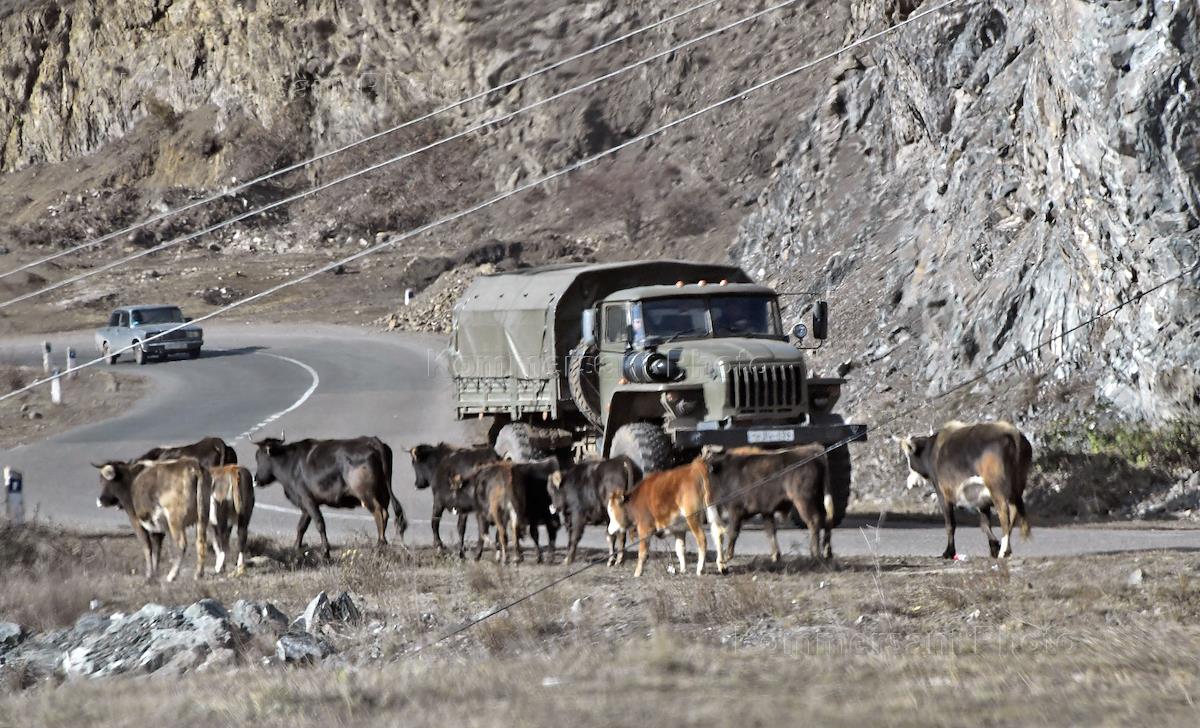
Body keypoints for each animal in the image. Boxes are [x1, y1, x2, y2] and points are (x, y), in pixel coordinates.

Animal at [252, 438, 403, 558]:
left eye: (259, 457)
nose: (256, 479)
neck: (290, 463)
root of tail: (373, 441)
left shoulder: (307, 499)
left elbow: (319, 523)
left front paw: (325, 551)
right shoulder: (307, 503)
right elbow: (301, 526)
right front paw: (296, 547)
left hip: (366, 494)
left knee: (379, 513)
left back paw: (379, 544)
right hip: (383, 492)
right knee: (386, 513)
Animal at [700, 443, 835, 563]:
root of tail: (813, 450)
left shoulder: (735, 509)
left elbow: (733, 531)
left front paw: (728, 555)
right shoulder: (766, 510)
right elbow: (770, 531)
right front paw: (776, 556)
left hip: (804, 500)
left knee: (814, 521)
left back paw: (815, 553)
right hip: (819, 498)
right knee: (827, 519)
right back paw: (827, 552)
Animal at [902, 422, 1032, 558]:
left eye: (908, 456)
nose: (909, 482)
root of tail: (1012, 433)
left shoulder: (943, 494)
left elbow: (950, 524)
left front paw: (948, 552)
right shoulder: (981, 499)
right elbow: (985, 525)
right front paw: (994, 547)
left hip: (997, 490)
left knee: (1004, 514)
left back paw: (1004, 550)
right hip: (1016, 488)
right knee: (1013, 512)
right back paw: (1005, 549)